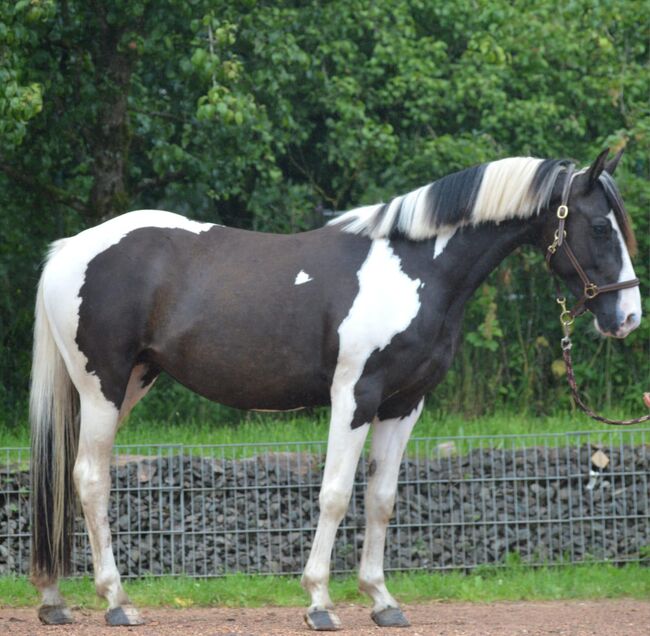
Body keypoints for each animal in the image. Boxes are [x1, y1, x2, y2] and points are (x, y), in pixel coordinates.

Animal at [29, 150, 636, 632]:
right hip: (103, 387)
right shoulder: (354, 398)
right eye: (600, 227)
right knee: (90, 479)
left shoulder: (404, 405)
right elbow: (336, 495)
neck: (414, 268)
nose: (628, 316)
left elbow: (382, 499)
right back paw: (117, 601)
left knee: (66, 475)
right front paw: (320, 602)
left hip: (129, 383)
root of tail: (67, 251)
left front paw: (383, 601)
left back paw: (55, 600)